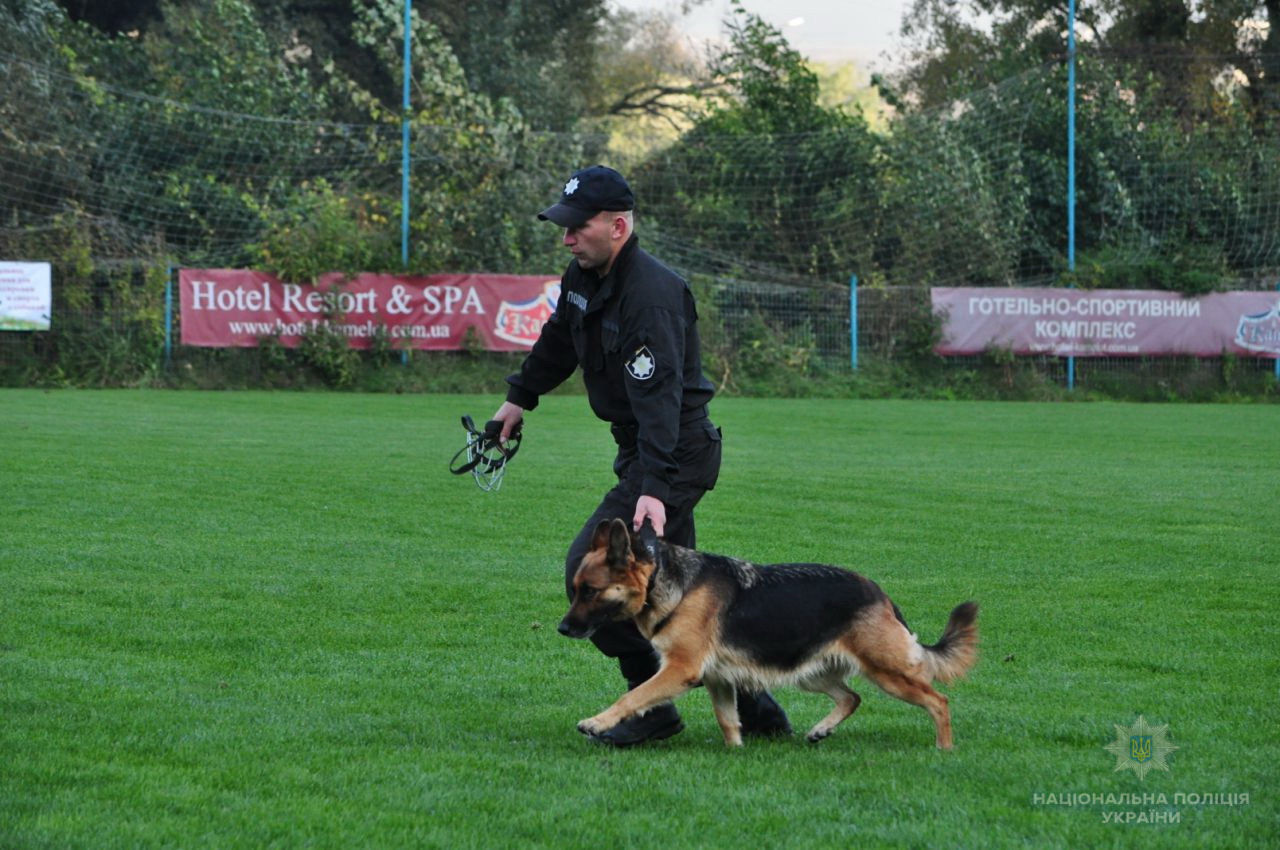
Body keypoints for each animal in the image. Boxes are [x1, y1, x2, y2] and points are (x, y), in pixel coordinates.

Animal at [560, 517, 977, 752]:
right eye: (577, 589)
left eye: (590, 591)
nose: (561, 629)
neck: (663, 580)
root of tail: (881, 594)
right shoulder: (717, 679)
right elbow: (728, 720)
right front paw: (737, 754)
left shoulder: (681, 670)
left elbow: (632, 697)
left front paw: (597, 723)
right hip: (810, 672)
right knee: (852, 697)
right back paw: (820, 731)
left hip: (887, 672)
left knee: (938, 701)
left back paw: (944, 750)